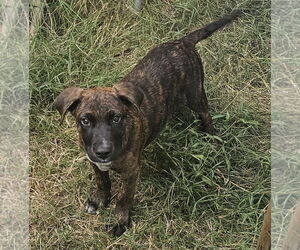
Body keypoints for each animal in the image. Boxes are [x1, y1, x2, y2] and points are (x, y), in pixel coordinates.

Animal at [53, 9, 241, 236]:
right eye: (85, 120)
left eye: (116, 118)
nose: (103, 152)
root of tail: (183, 41)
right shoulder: (94, 162)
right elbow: (102, 182)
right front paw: (99, 201)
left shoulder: (131, 172)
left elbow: (124, 199)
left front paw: (120, 223)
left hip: (195, 92)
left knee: (205, 113)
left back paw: (211, 136)